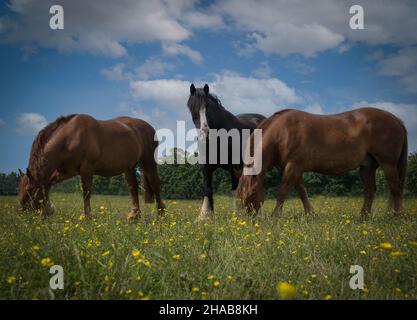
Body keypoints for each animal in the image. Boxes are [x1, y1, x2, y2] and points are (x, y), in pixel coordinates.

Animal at [18, 114, 164, 219]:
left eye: (29, 189)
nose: (22, 212)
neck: (70, 138)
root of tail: (149, 128)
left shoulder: (87, 170)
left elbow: (86, 193)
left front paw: (87, 216)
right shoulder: (64, 172)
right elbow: (47, 185)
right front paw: (47, 209)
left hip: (148, 162)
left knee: (155, 185)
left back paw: (161, 214)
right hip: (129, 167)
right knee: (133, 188)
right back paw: (134, 216)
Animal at [187, 83, 264, 220]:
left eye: (208, 107)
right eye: (192, 107)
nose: (205, 134)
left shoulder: (235, 166)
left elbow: (236, 190)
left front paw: (238, 216)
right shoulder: (205, 167)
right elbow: (208, 189)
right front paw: (204, 216)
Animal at [237, 108, 406, 220]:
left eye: (251, 193)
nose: (245, 219)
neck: (283, 132)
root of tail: (396, 119)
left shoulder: (293, 166)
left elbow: (283, 191)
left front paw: (275, 216)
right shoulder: (294, 168)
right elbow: (302, 192)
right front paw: (310, 214)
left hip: (388, 164)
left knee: (396, 188)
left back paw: (396, 217)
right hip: (367, 167)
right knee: (370, 191)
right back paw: (363, 217)